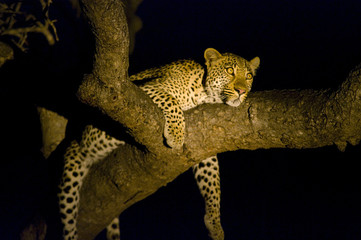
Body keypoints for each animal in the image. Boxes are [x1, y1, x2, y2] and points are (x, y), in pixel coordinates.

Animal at [57, 48, 258, 240]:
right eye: (230, 71)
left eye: (248, 76)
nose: (241, 91)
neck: (205, 93)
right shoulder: (145, 89)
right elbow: (171, 101)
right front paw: (176, 135)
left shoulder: (204, 144)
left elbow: (212, 180)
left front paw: (215, 223)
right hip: (72, 170)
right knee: (68, 216)